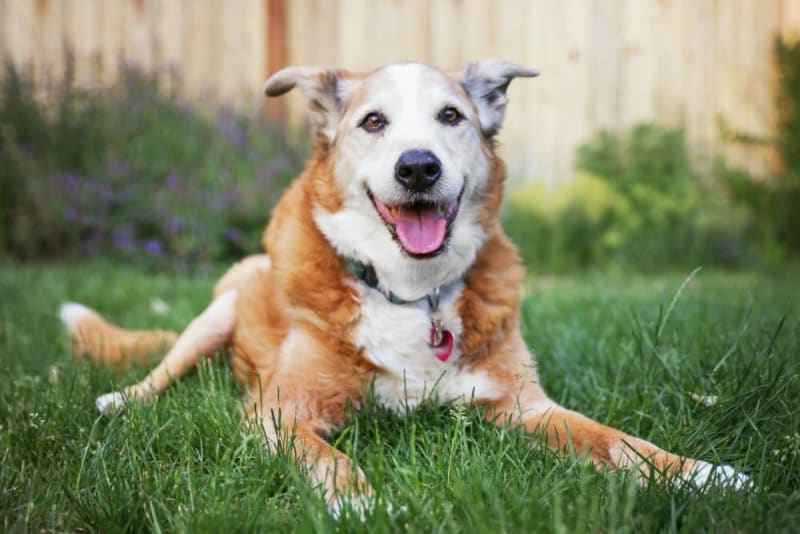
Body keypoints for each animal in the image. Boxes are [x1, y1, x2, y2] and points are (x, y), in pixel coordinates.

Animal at [62, 60, 752, 516]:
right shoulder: (280, 414)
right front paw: (360, 505)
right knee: (163, 369)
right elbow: (327, 457)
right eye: (373, 122)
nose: (418, 166)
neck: (412, 293)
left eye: (451, 116)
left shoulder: (525, 408)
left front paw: (700, 473)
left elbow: (617, 441)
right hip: (215, 316)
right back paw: (120, 400)